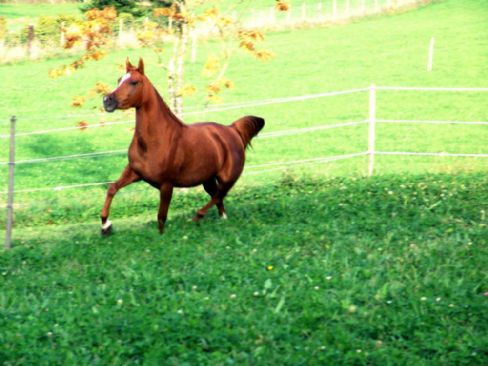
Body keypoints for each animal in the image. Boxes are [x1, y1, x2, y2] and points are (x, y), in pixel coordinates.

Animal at [100, 57, 264, 234]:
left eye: (134, 82)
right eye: (119, 80)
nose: (107, 100)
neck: (155, 141)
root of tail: (232, 129)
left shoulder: (166, 185)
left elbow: (161, 217)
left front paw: (161, 236)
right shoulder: (134, 172)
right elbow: (112, 188)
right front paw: (105, 226)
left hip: (228, 178)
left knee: (219, 194)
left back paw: (197, 217)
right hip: (208, 179)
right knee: (217, 197)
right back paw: (221, 219)